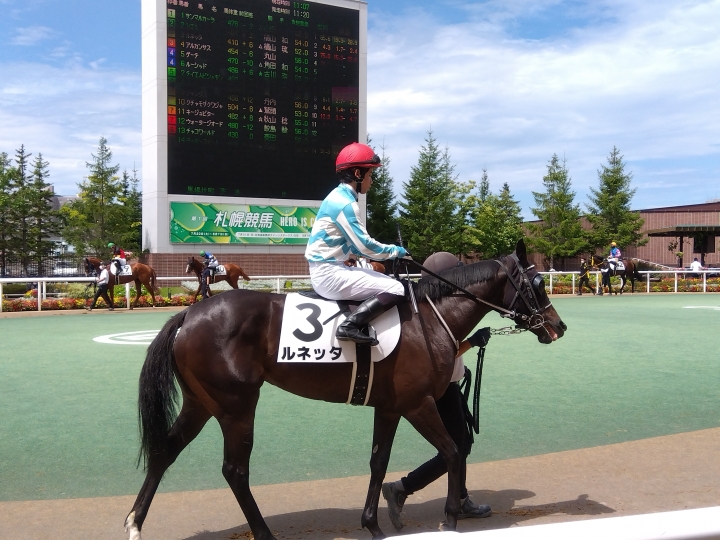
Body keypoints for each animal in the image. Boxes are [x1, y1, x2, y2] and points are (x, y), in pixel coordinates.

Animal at [126, 240, 568, 540]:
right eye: (535, 284)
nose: (558, 326)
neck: (428, 318)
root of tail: (188, 314)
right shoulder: (418, 404)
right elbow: (453, 450)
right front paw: (450, 518)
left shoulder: (389, 407)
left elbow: (378, 462)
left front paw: (372, 523)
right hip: (236, 407)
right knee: (234, 470)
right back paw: (264, 532)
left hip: (201, 403)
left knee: (165, 452)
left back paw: (134, 523)